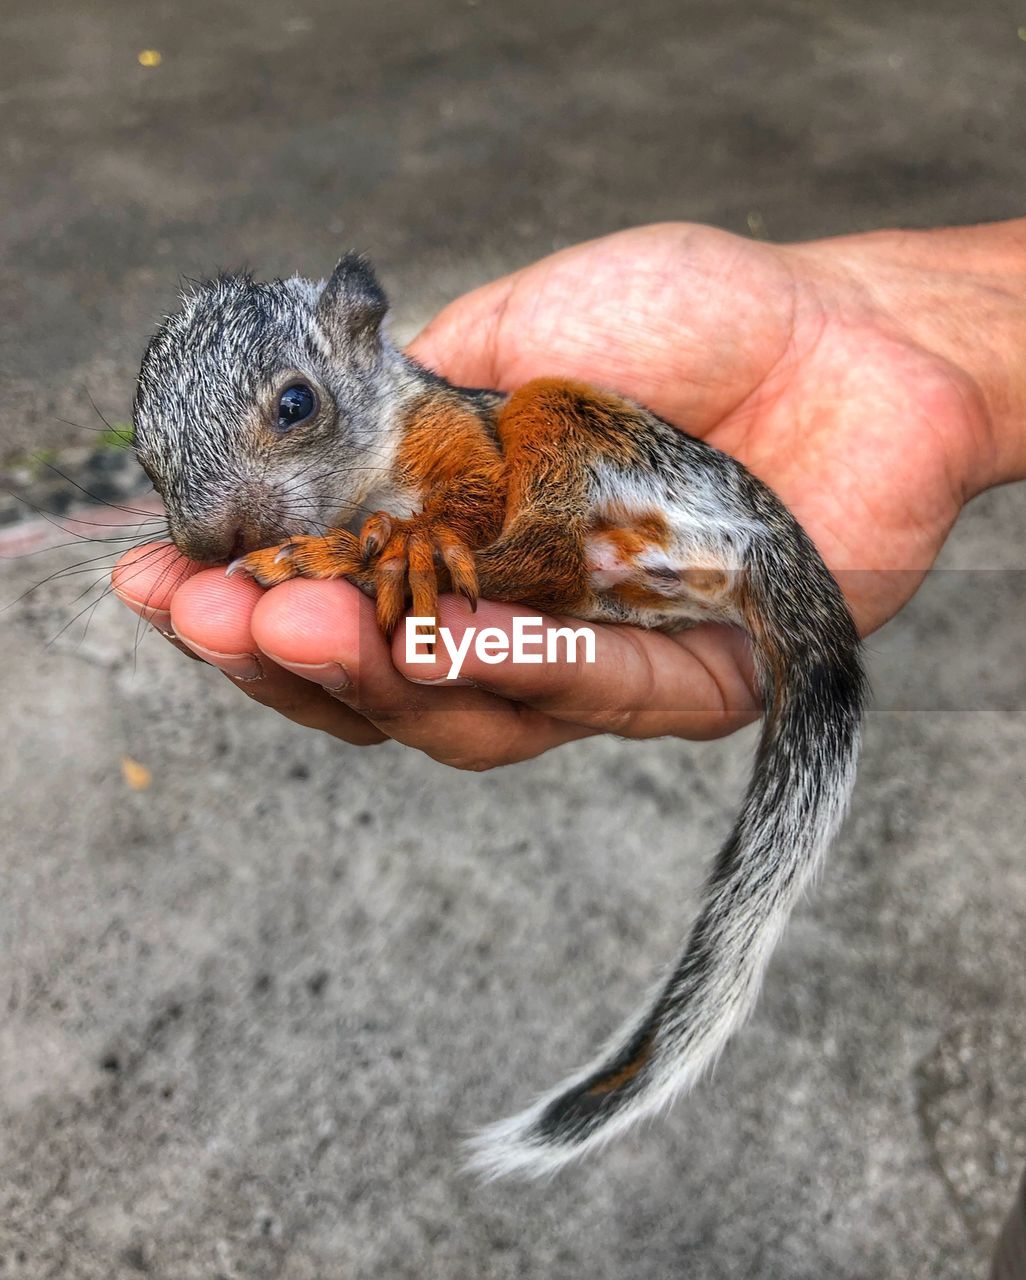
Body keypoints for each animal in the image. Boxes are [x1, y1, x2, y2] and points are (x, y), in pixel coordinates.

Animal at [131, 254, 859, 1182]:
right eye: (143, 456)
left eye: (296, 403)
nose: (210, 544)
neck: (371, 473)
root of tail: (758, 530)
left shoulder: (455, 433)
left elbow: (473, 497)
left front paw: (404, 544)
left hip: (572, 418)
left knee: (545, 552)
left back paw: (366, 560)